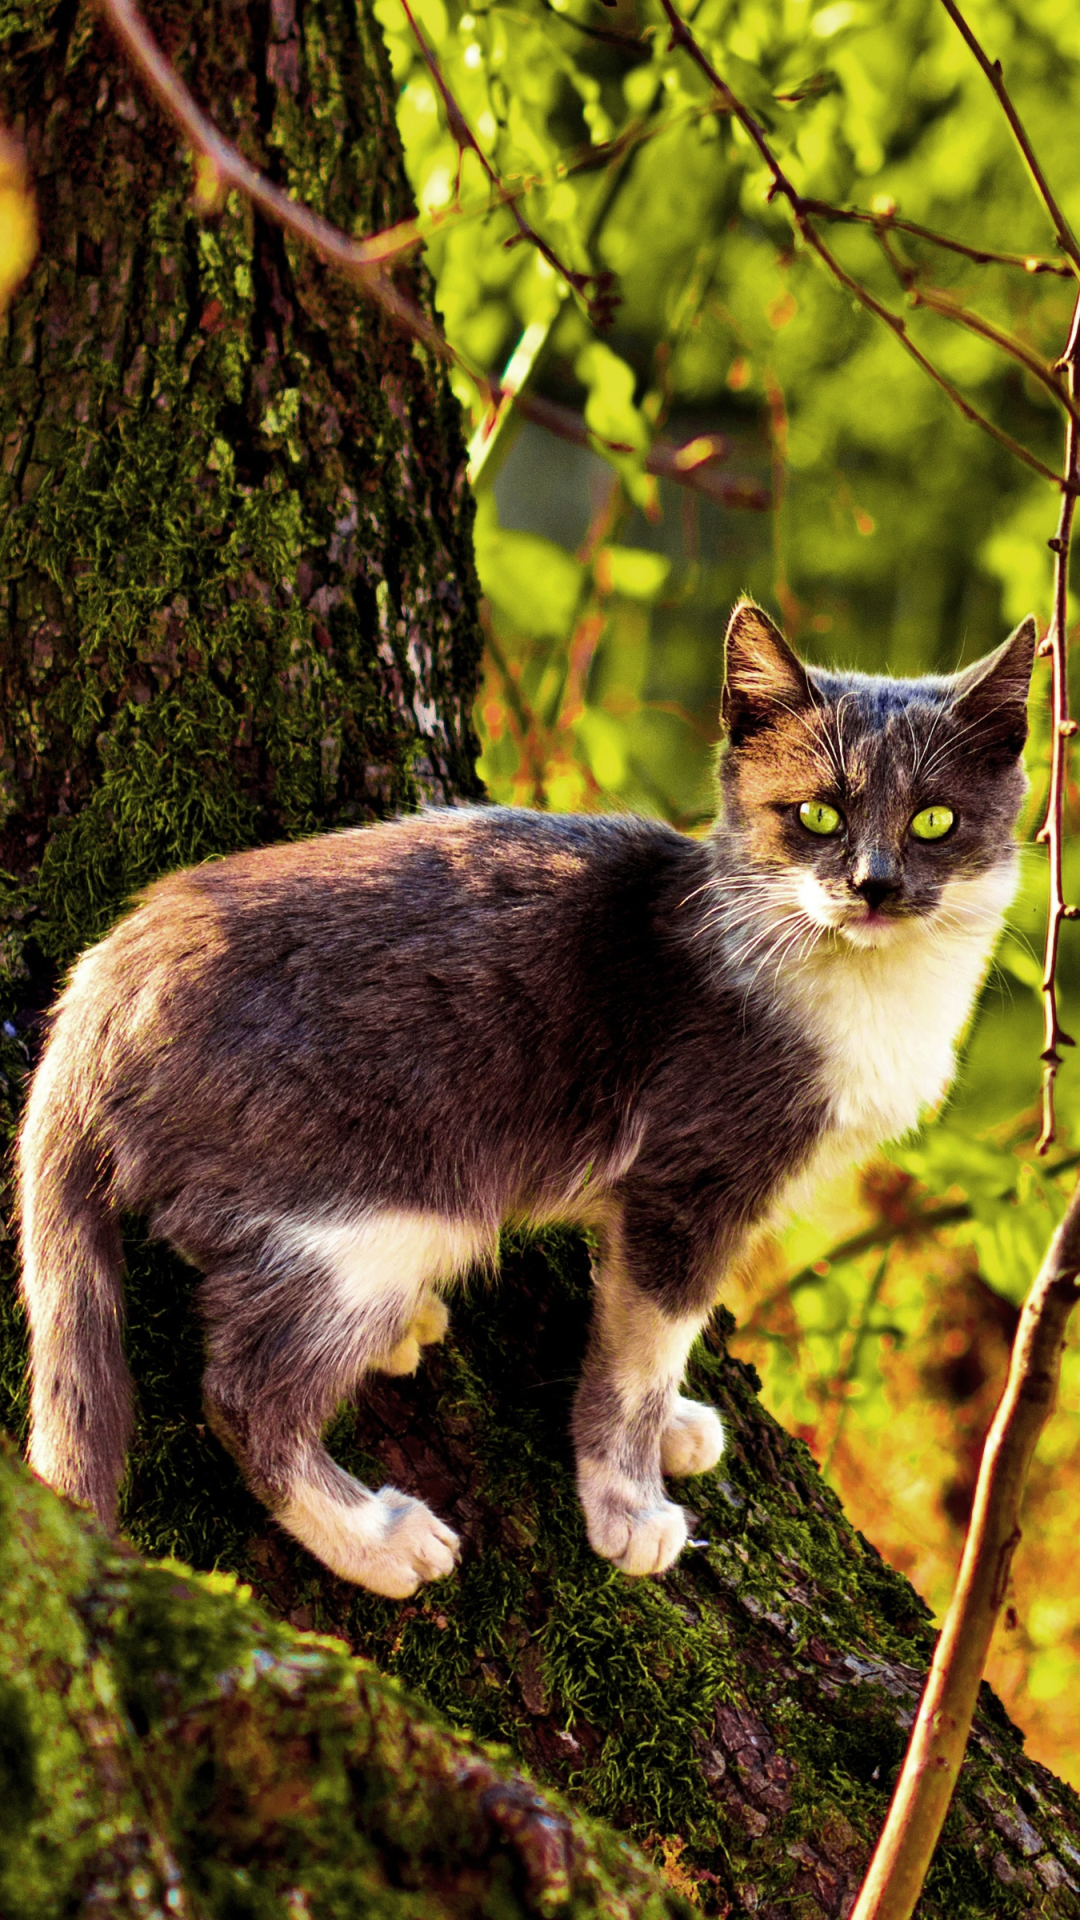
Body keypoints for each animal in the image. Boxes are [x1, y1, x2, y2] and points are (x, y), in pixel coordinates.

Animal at [14, 606, 1022, 1597]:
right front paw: (628, 1504)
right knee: (240, 1391)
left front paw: (674, 1427)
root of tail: (103, 978)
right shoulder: (690, 1175)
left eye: (936, 820)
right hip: (375, 1211)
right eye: (817, 812)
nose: (874, 885)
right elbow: (644, 1347)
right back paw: (374, 1538)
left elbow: (636, 1324)